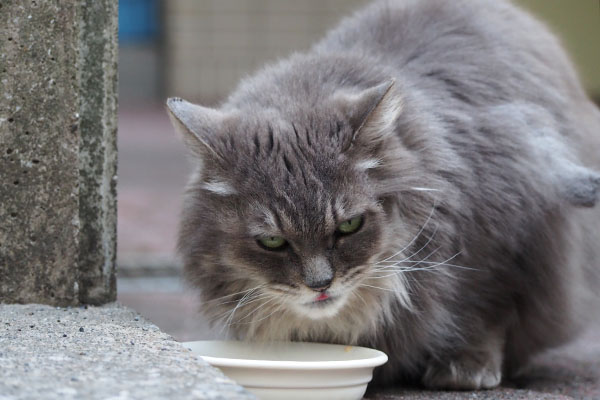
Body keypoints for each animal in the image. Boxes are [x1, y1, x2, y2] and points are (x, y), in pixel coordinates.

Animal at [165, 0, 600, 390]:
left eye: (349, 226)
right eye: (272, 241)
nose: (320, 284)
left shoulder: (505, 237)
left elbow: (486, 309)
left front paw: (466, 367)